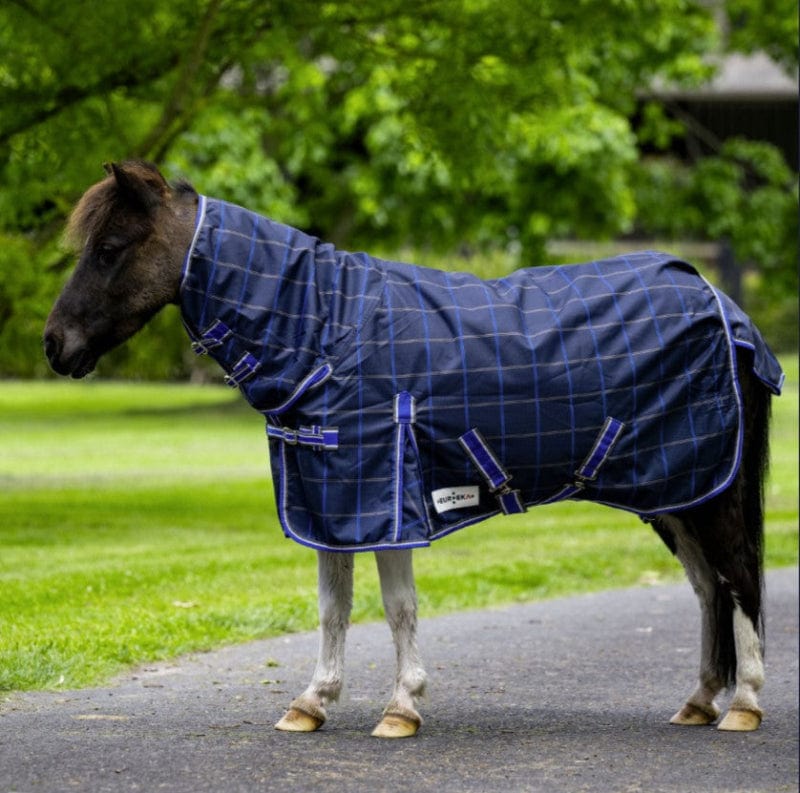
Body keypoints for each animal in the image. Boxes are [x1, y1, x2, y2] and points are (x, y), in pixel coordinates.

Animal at [44, 160, 783, 738]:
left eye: (109, 247)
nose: (55, 345)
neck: (327, 332)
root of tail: (723, 305)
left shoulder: (388, 496)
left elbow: (398, 607)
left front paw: (401, 707)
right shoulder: (332, 500)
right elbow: (333, 606)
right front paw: (312, 702)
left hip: (712, 492)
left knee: (740, 577)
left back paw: (744, 704)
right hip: (676, 493)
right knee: (708, 588)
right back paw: (698, 701)